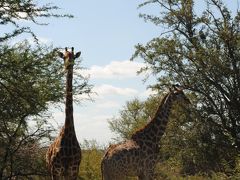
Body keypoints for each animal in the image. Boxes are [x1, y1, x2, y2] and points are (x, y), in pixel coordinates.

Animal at [45, 46, 82, 180]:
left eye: (73, 57)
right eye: (64, 57)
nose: (68, 65)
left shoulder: (73, 171)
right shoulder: (56, 171)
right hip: (50, 170)